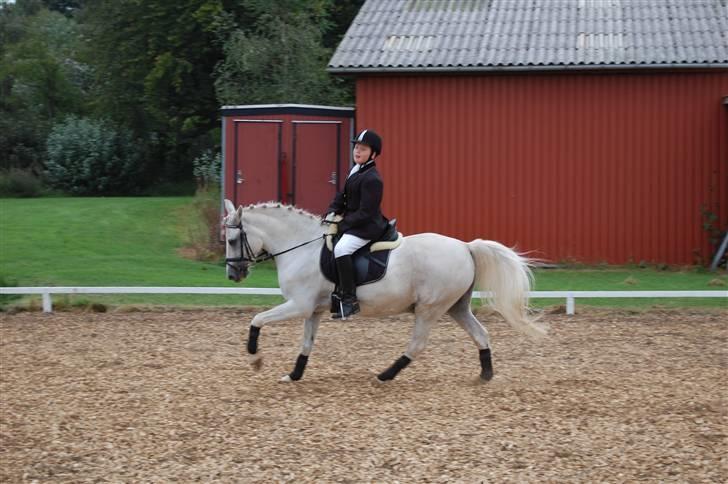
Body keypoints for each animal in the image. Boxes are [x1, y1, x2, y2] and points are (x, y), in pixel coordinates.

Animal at [222, 199, 546, 383]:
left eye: (233, 239)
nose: (233, 274)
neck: (302, 246)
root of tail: (466, 247)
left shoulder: (298, 304)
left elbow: (257, 320)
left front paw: (255, 358)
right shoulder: (312, 310)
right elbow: (306, 343)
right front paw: (294, 374)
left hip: (429, 308)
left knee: (417, 344)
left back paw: (385, 375)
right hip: (456, 306)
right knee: (481, 334)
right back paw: (485, 375)